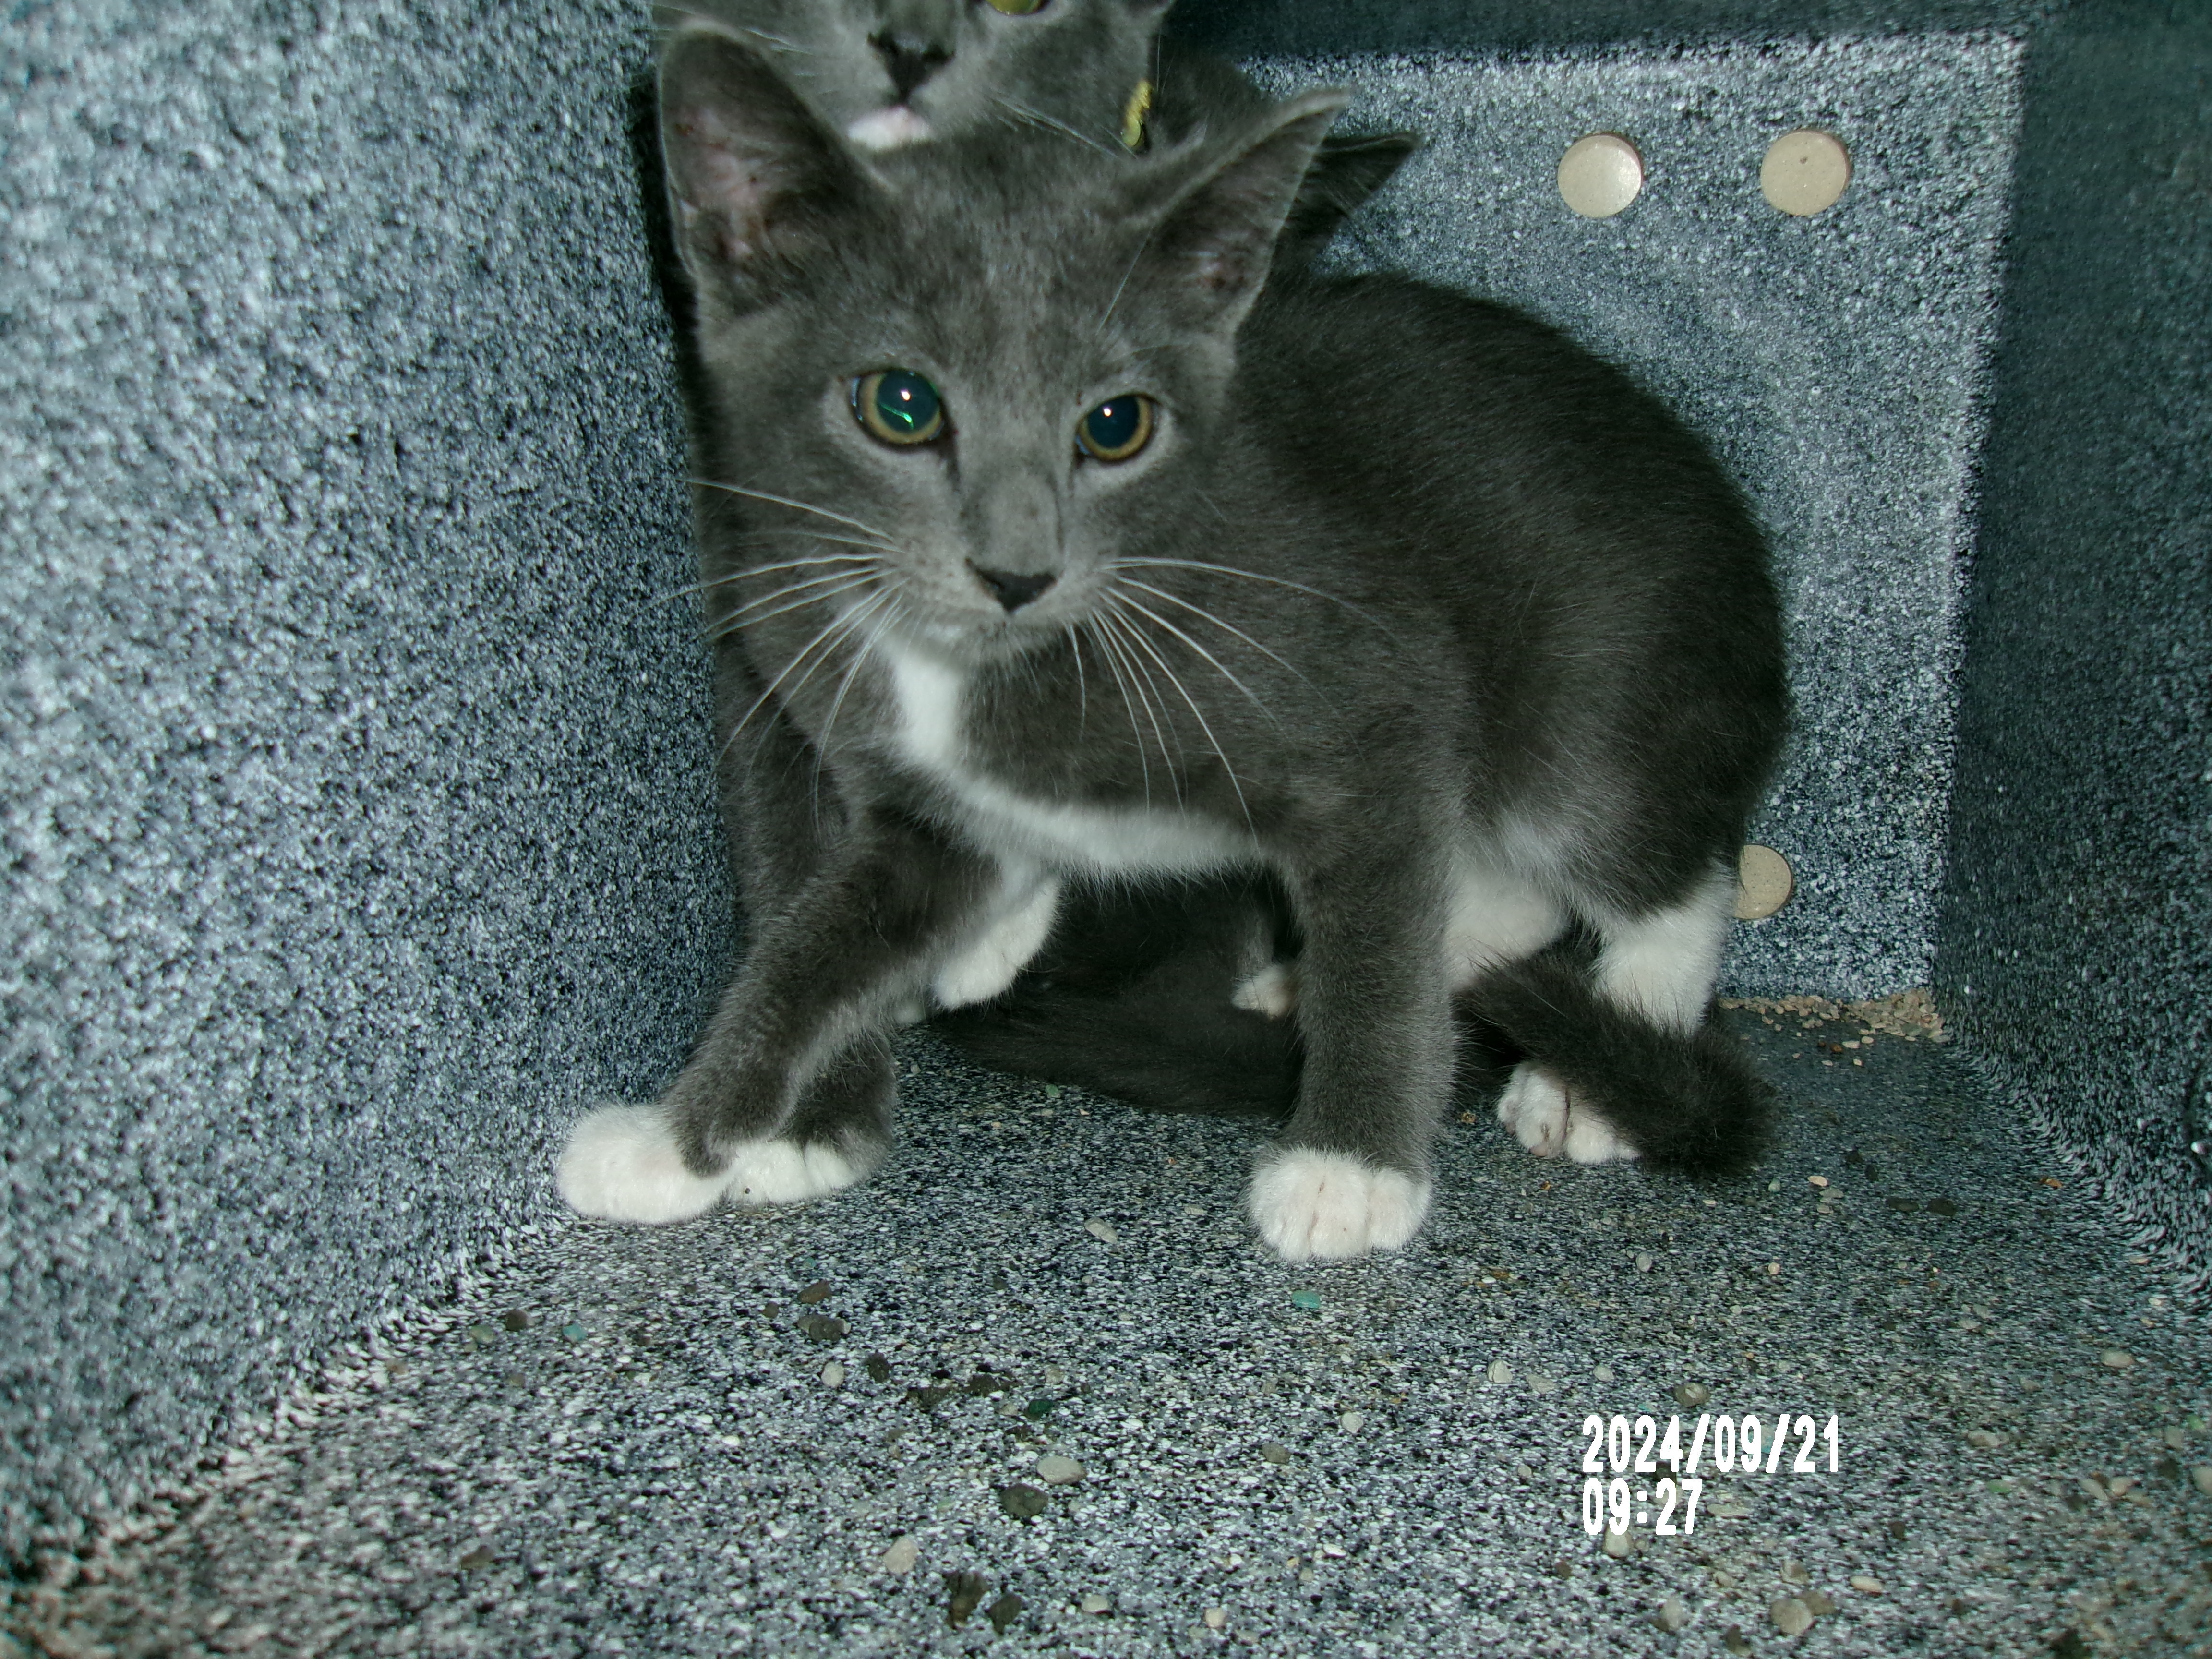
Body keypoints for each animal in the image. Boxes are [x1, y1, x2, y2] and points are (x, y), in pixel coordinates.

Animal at [562, 36, 1787, 1256]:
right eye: (898, 405)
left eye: (1115, 425)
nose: (1017, 571)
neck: (974, 664)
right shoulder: (931, 814)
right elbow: (813, 944)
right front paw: (674, 1145)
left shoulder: (1375, 697)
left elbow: (1383, 928)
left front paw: (1352, 1165)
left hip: (1597, 693)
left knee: (1662, 871)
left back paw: (1595, 1066)